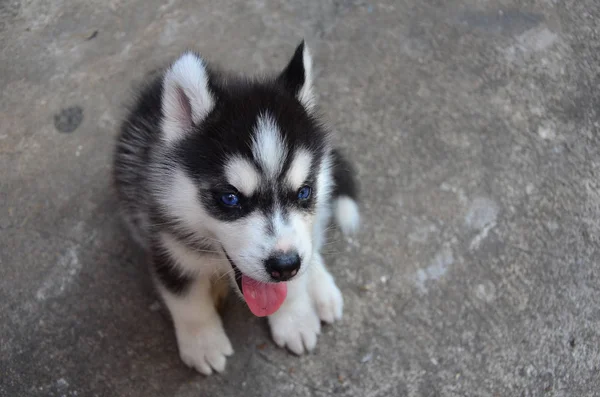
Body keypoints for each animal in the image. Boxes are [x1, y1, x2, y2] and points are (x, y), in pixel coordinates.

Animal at [112, 41, 358, 372]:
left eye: (304, 192)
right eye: (230, 198)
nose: (284, 266)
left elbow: (295, 280)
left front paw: (294, 318)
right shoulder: (167, 246)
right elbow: (187, 301)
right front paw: (203, 343)